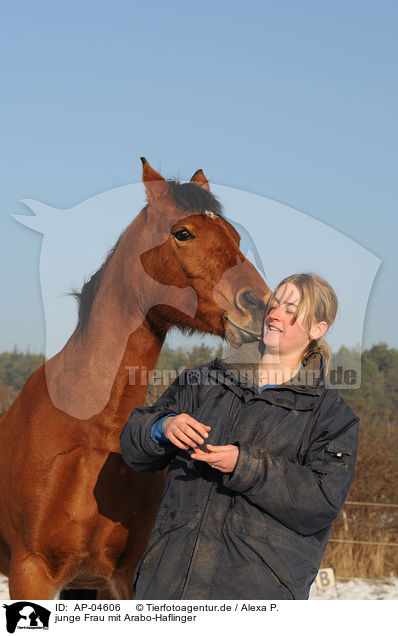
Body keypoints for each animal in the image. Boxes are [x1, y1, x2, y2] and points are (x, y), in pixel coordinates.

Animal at [0, 158, 270, 596]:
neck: (94, 431)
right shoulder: (31, 572)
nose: (261, 306)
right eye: (183, 232)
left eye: (235, 235)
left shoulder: (123, 577)